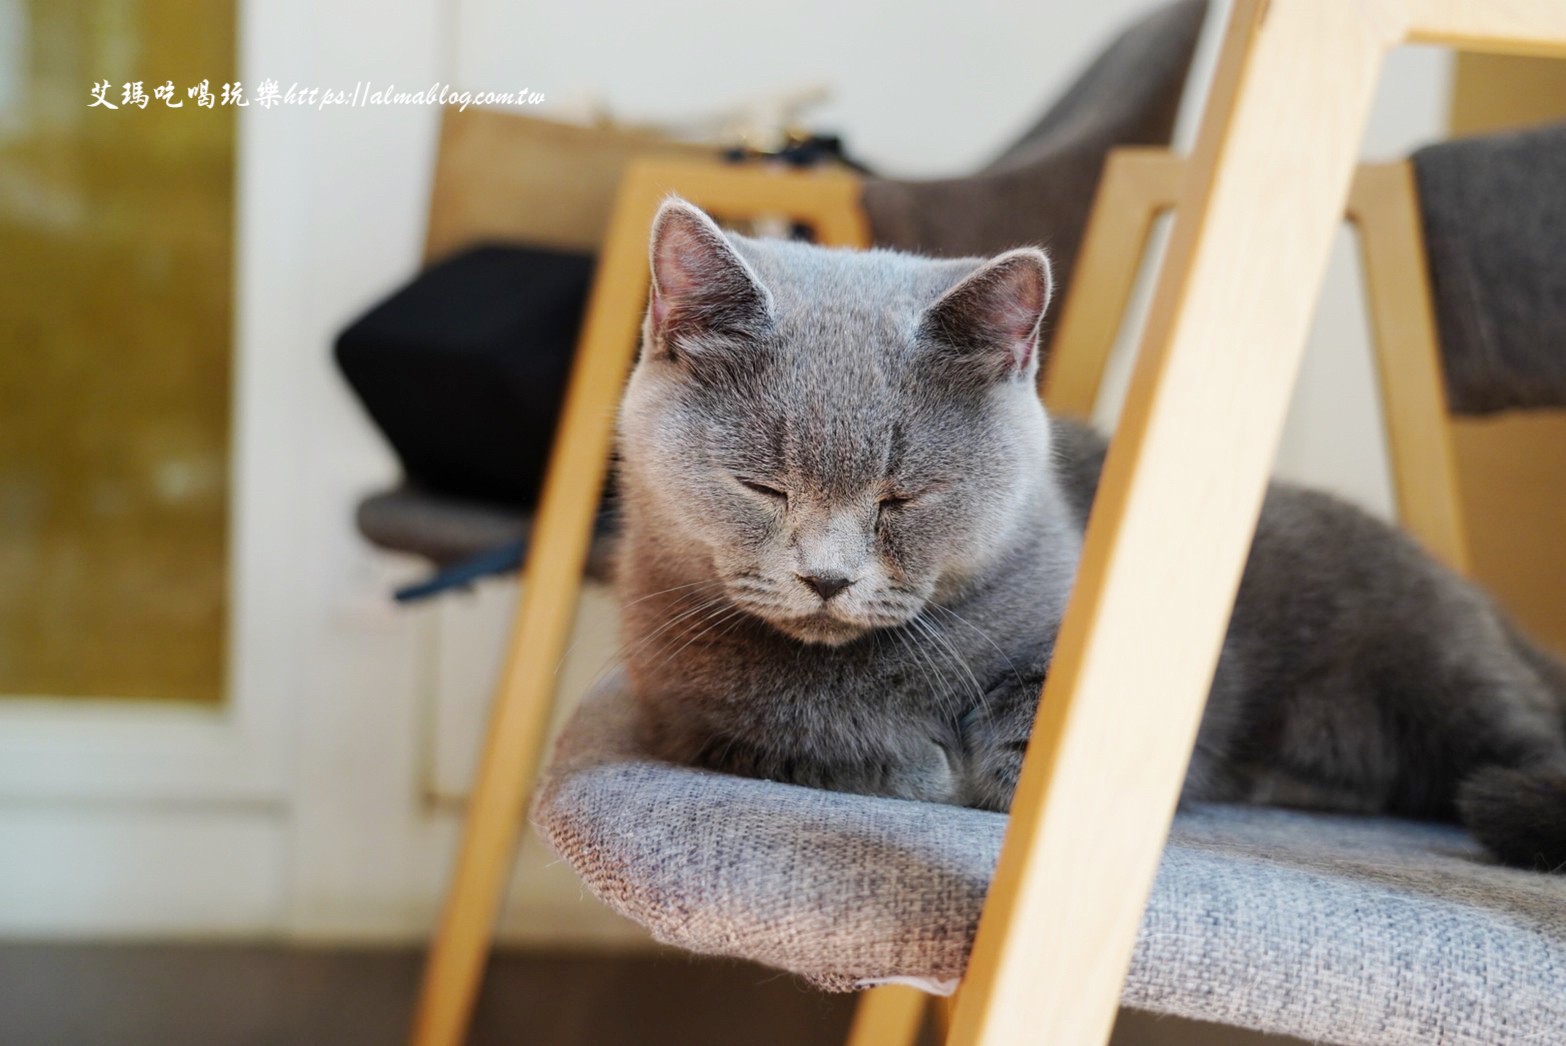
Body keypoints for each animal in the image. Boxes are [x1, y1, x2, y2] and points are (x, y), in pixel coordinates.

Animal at [617, 198, 1566, 876]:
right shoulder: (680, 710)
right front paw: (919, 764)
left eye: (904, 497)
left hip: (1439, 674)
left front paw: (991, 772)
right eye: (762, 486)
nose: (826, 577)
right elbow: (792, 729)